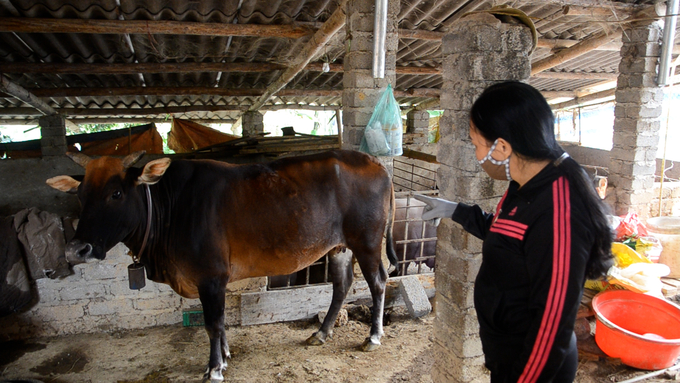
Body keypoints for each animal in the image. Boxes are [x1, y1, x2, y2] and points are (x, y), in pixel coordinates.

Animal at [47, 151, 396, 383]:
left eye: (116, 192)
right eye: (81, 194)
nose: (76, 248)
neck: (169, 208)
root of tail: (373, 161)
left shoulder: (210, 276)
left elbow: (212, 323)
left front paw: (214, 367)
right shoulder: (216, 280)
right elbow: (221, 320)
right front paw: (225, 356)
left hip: (366, 242)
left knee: (378, 281)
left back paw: (373, 337)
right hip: (338, 247)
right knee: (341, 285)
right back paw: (321, 333)